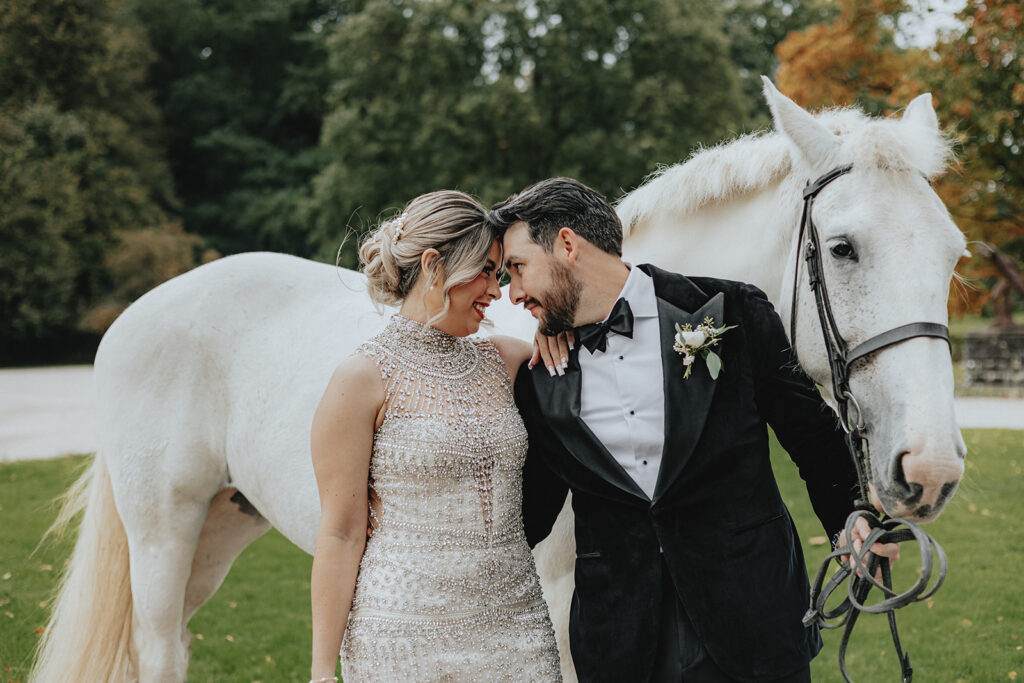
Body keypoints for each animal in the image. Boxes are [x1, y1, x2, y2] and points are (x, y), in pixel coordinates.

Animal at [28, 81, 962, 683]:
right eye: (841, 246)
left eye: (955, 253)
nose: (930, 468)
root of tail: (143, 310)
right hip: (163, 533)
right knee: (157, 651)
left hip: (219, 531)